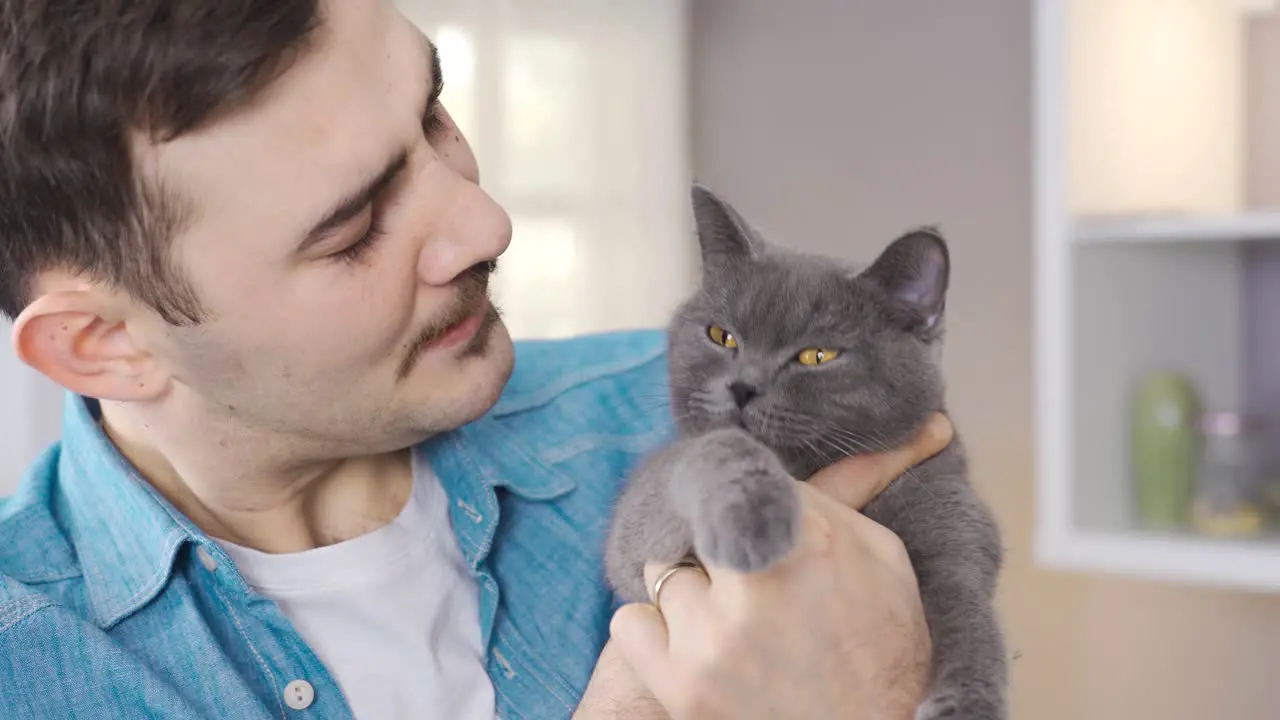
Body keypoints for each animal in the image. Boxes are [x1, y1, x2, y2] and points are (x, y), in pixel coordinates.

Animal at [604, 184, 1003, 717]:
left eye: (818, 356)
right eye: (721, 336)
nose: (743, 386)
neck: (805, 470)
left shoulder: (954, 514)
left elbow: (965, 602)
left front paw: (969, 703)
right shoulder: (635, 532)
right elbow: (714, 449)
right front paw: (756, 518)